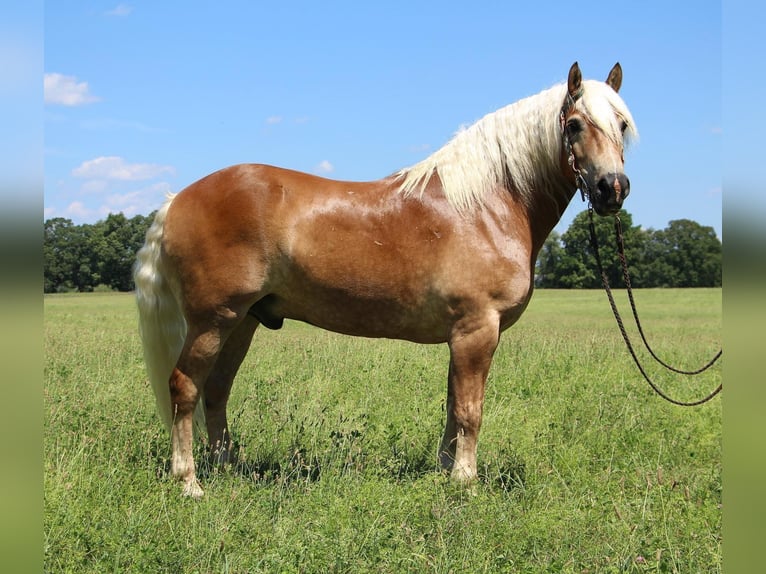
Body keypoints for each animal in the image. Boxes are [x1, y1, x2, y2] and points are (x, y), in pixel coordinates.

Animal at [135, 60, 640, 498]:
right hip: (213, 320)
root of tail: (177, 200)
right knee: (185, 387)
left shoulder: (461, 335)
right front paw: (466, 483)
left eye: (622, 125)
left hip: (242, 321)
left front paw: (444, 472)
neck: (486, 205)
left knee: (216, 390)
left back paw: (227, 469)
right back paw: (189, 482)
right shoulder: (477, 329)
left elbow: (452, 406)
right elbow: (470, 410)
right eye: (574, 124)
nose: (612, 189)